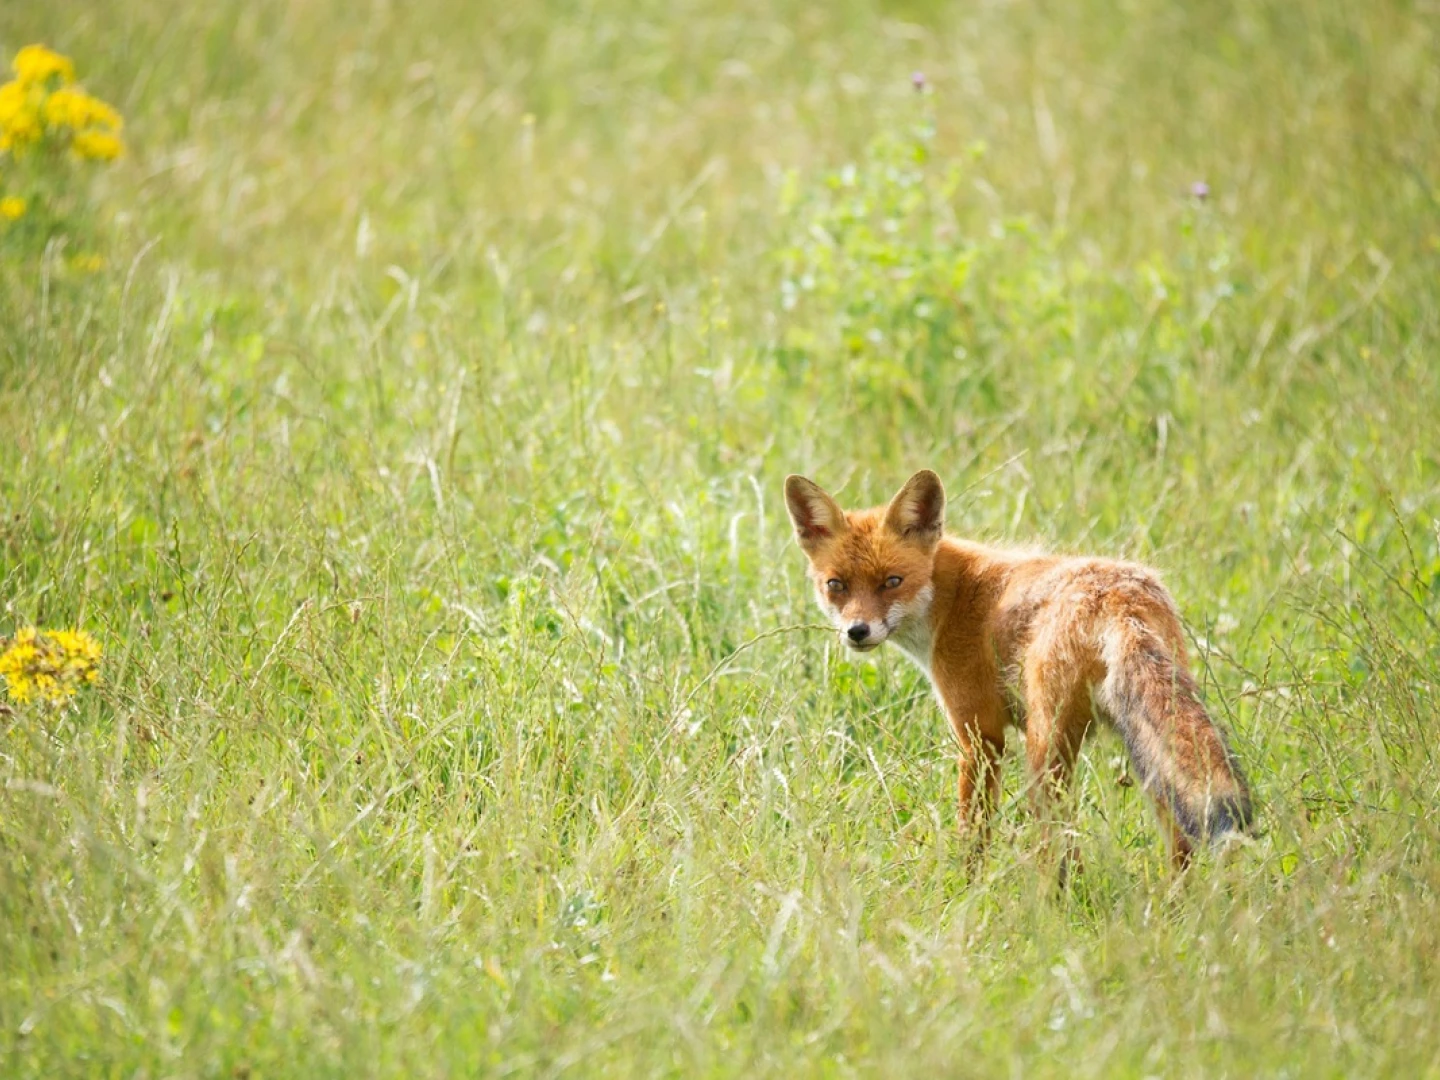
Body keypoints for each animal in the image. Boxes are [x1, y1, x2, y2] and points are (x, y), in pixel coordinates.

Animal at [789, 469, 1249, 869]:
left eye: (892, 581)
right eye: (836, 585)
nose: (857, 631)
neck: (951, 599)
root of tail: (1122, 597)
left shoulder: (980, 738)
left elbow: (973, 834)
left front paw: (965, 890)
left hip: (1045, 751)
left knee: (1060, 846)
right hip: (1149, 752)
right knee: (1179, 844)